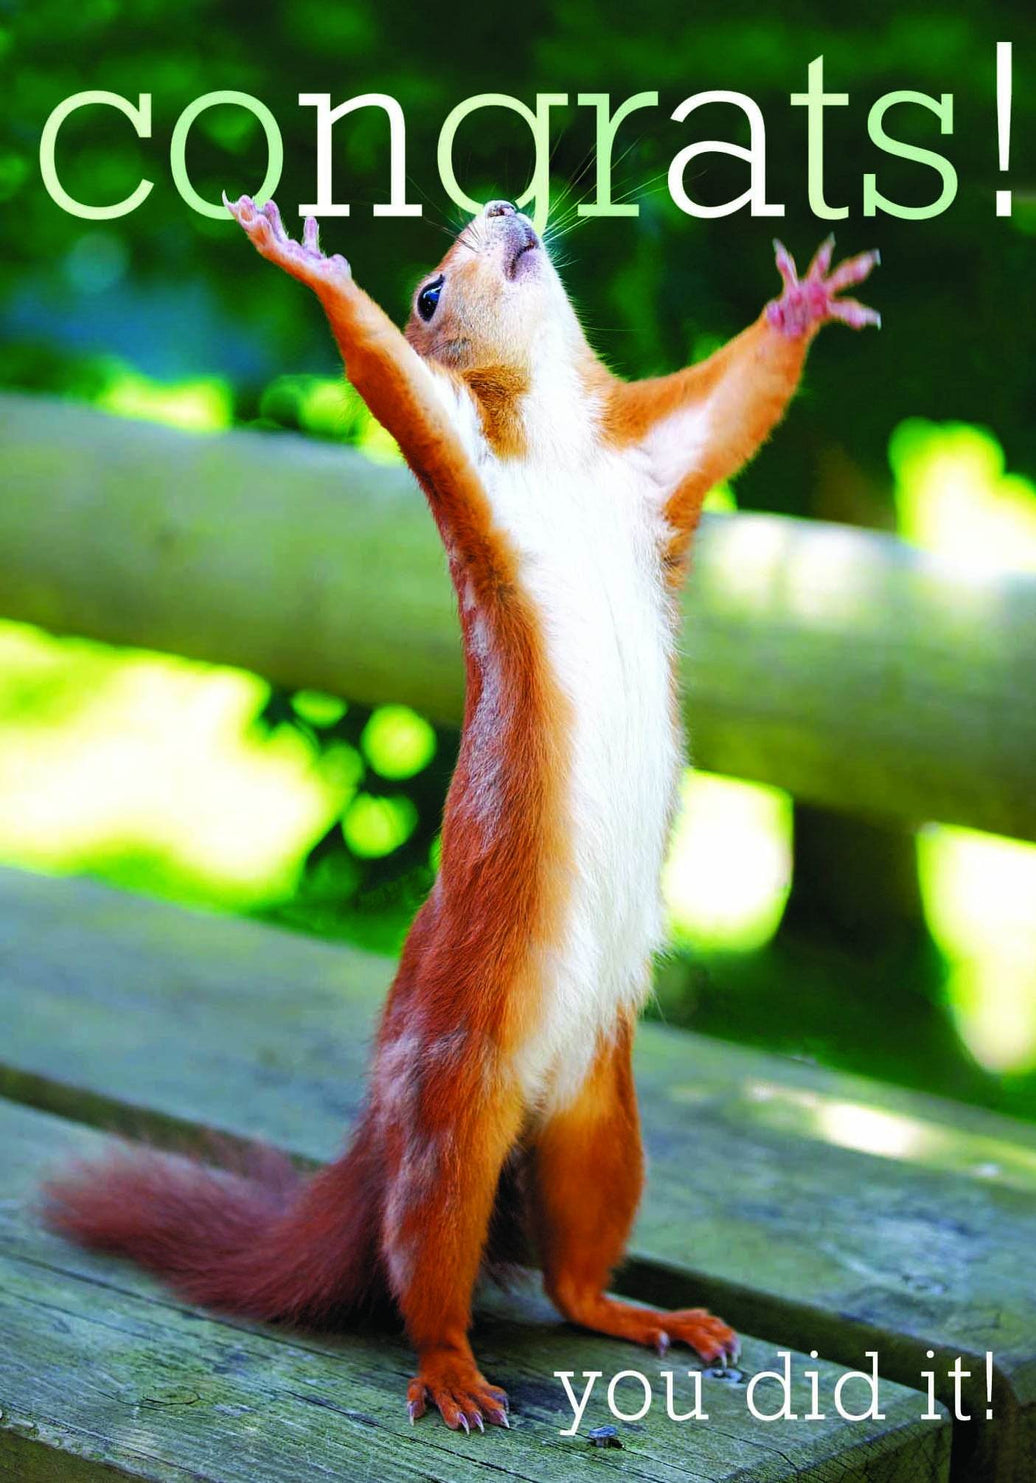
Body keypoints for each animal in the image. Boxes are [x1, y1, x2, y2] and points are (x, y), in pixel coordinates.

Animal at [44, 195, 878, 1433]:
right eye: (429, 291)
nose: (501, 210)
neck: (564, 443)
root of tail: (382, 1138)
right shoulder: (464, 460)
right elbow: (388, 376)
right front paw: (307, 261)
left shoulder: (655, 459)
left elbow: (732, 406)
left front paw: (803, 303)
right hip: (451, 1110)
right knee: (423, 1265)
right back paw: (452, 1370)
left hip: (600, 1120)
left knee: (573, 1273)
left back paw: (650, 1315)